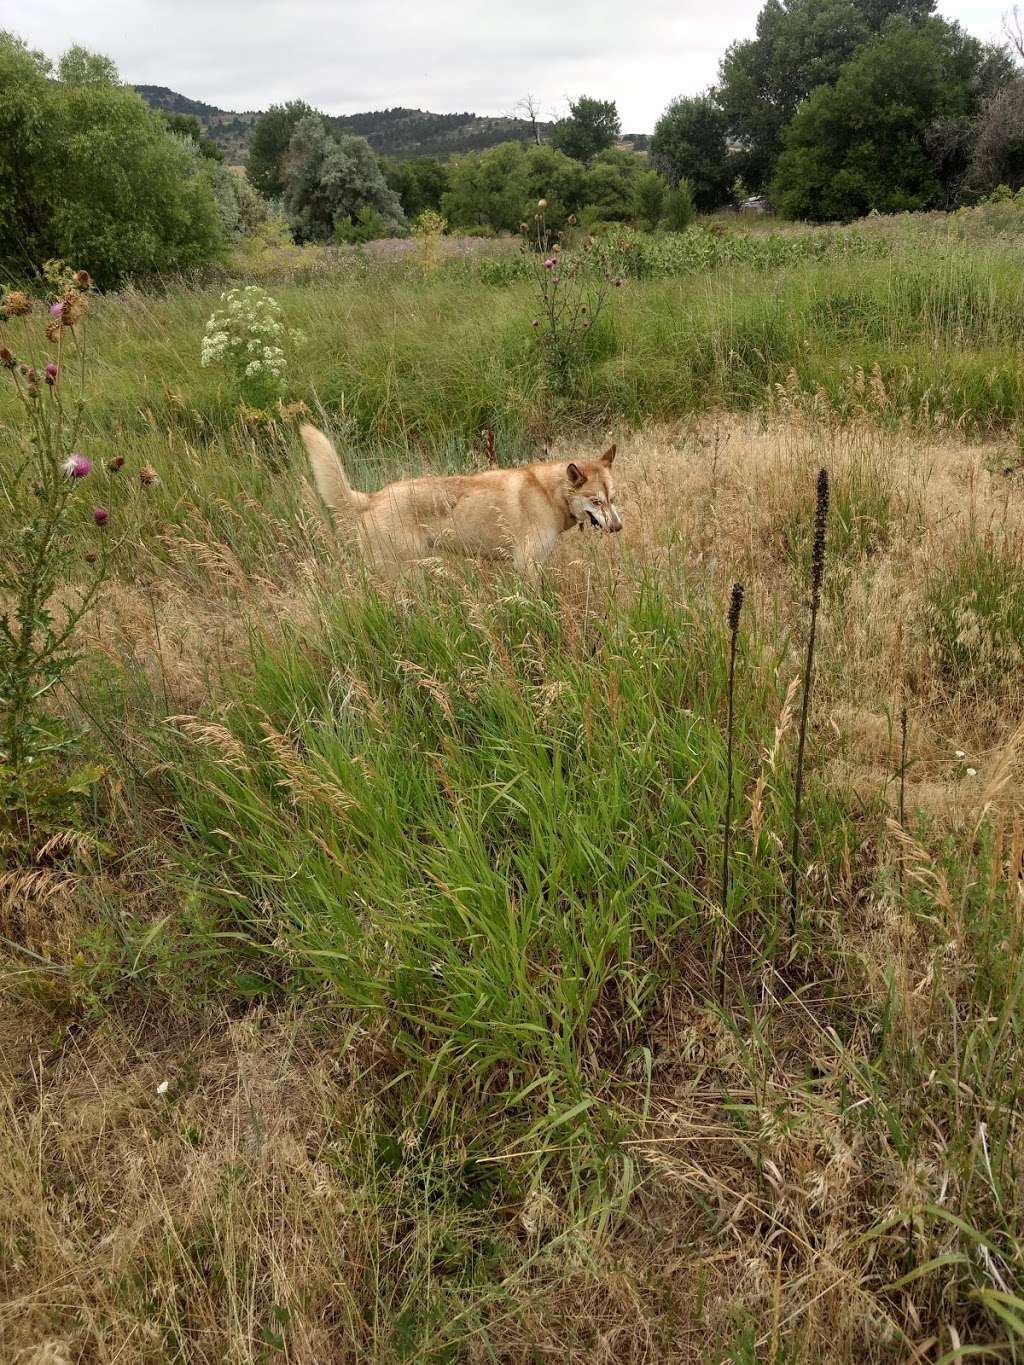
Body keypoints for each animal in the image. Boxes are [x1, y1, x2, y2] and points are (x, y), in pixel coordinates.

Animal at [300, 425, 622, 576]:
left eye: (612, 498)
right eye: (596, 501)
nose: (618, 528)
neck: (547, 493)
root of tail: (371, 498)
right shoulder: (526, 565)